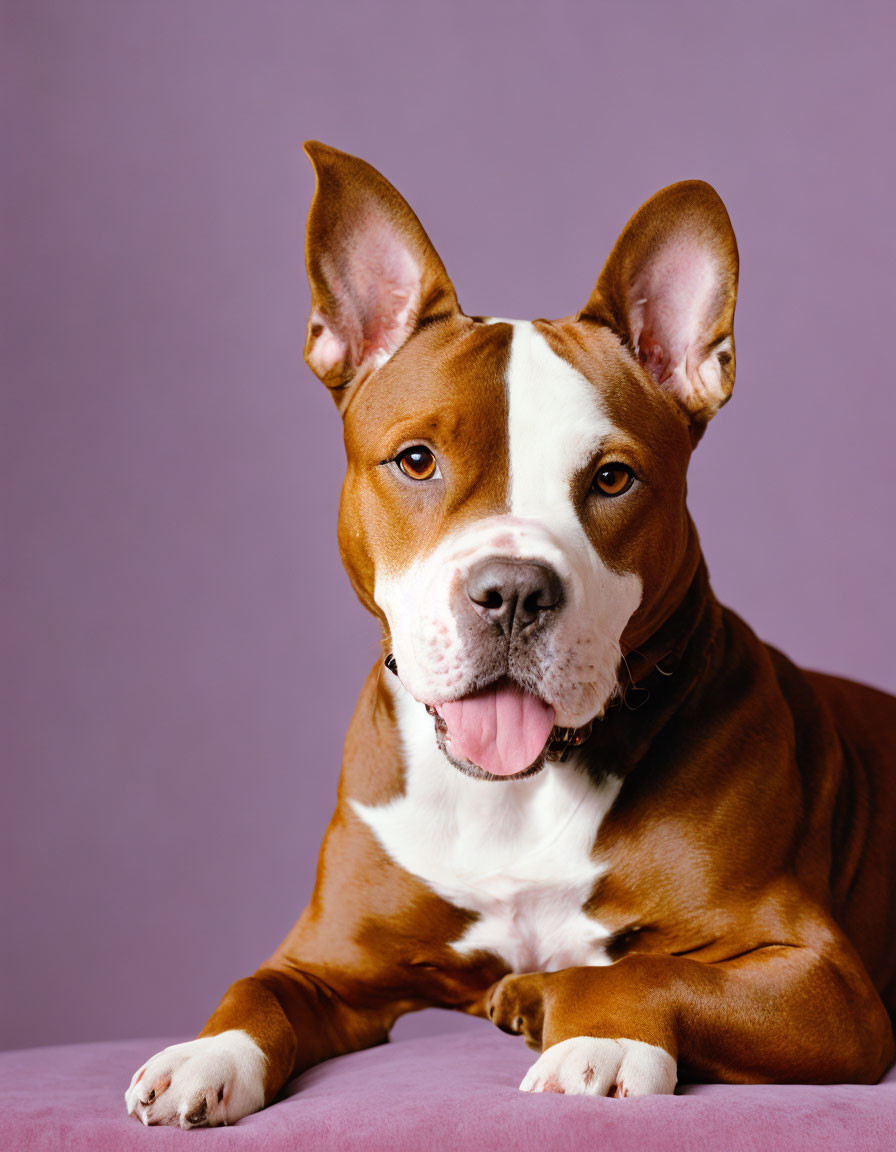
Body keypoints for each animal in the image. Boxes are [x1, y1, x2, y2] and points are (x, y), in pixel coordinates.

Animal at [123, 137, 893, 1124]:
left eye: (612, 478)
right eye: (417, 460)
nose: (515, 592)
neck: (519, 789)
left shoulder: (824, 980)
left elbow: (644, 971)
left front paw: (599, 1041)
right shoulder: (327, 963)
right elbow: (257, 988)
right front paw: (207, 1055)